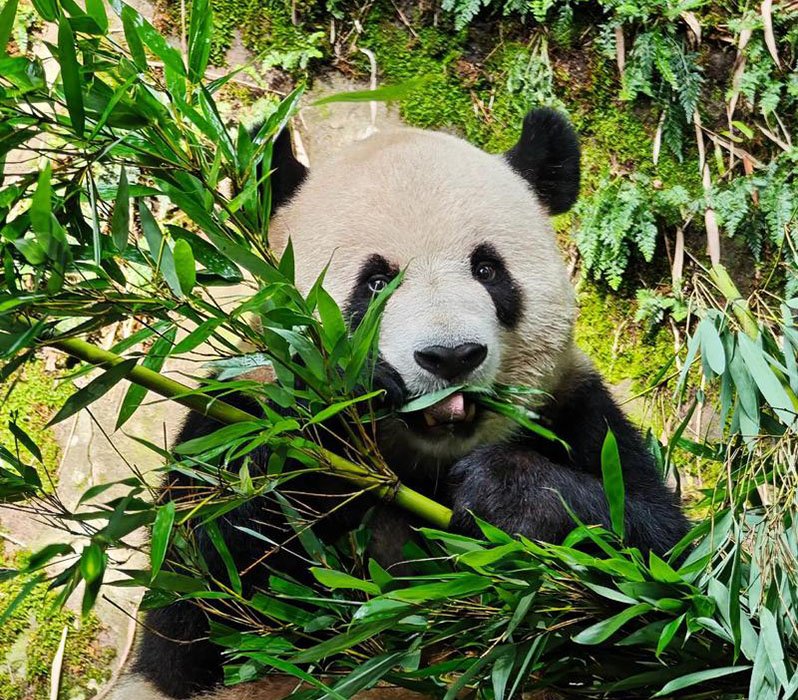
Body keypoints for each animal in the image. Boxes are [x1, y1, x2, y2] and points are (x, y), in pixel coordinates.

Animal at [120, 108, 689, 699]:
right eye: (375, 283)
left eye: (487, 270)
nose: (451, 356)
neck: (420, 462)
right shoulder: (236, 412)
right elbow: (199, 606)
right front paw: (349, 391)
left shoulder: (577, 411)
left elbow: (663, 569)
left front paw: (510, 495)